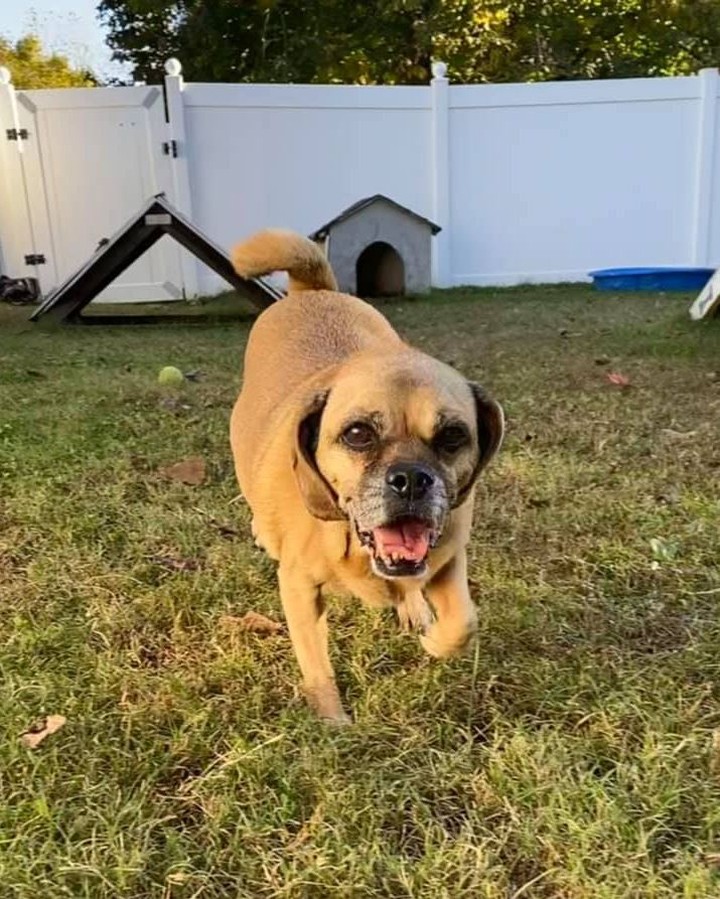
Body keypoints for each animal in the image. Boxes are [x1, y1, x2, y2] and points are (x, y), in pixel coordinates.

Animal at [229, 230, 500, 724]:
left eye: (453, 436)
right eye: (358, 434)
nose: (410, 479)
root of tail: (313, 291)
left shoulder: (449, 557)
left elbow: (463, 622)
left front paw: (434, 639)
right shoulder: (298, 588)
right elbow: (317, 666)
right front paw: (333, 722)